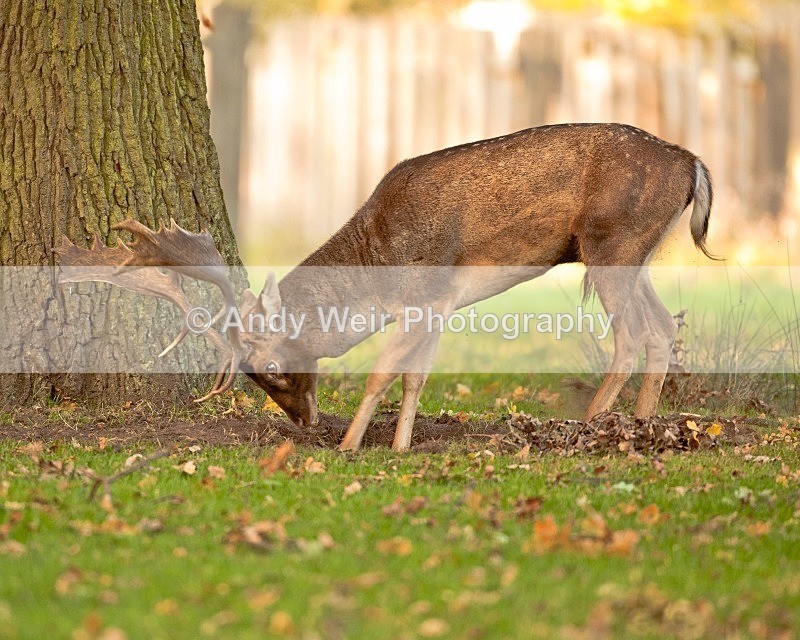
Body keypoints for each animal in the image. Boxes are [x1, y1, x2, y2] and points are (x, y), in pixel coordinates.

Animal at [55, 123, 714, 451]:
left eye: (269, 366)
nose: (302, 421)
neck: (378, 265)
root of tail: (694, 164)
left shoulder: (425, 293)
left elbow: (381, 371)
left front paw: (350, 445)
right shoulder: (439, 304)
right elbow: (415, 376)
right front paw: (399, 446)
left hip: (611, 243)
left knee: (632, 334)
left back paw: (592, 427)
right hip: (635, 251)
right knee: (662, 327)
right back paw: (643, 429)